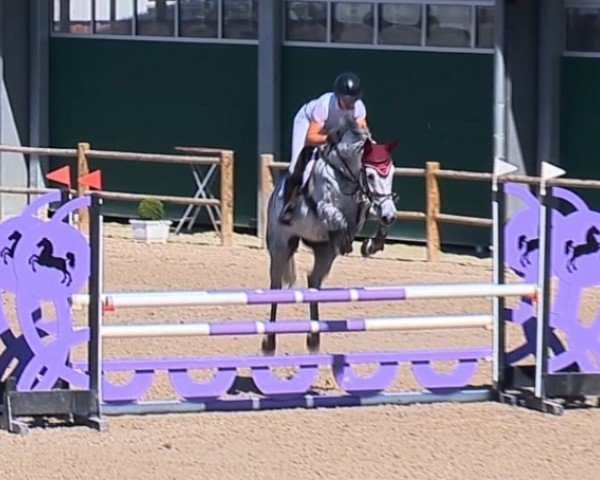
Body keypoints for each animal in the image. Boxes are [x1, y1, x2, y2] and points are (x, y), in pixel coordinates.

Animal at [262, 118, 398, 354]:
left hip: (323, 253)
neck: (345, 175)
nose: (389, 215)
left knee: (313, 280)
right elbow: (340, 220)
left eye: (391, 173)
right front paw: (346, 242)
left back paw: (314, 339)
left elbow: (374, 217)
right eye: (371, 175)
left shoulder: (367, 207)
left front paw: (371, 245)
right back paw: (270, 342)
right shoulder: (325, 209)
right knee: (276, 284)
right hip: (281, 244)